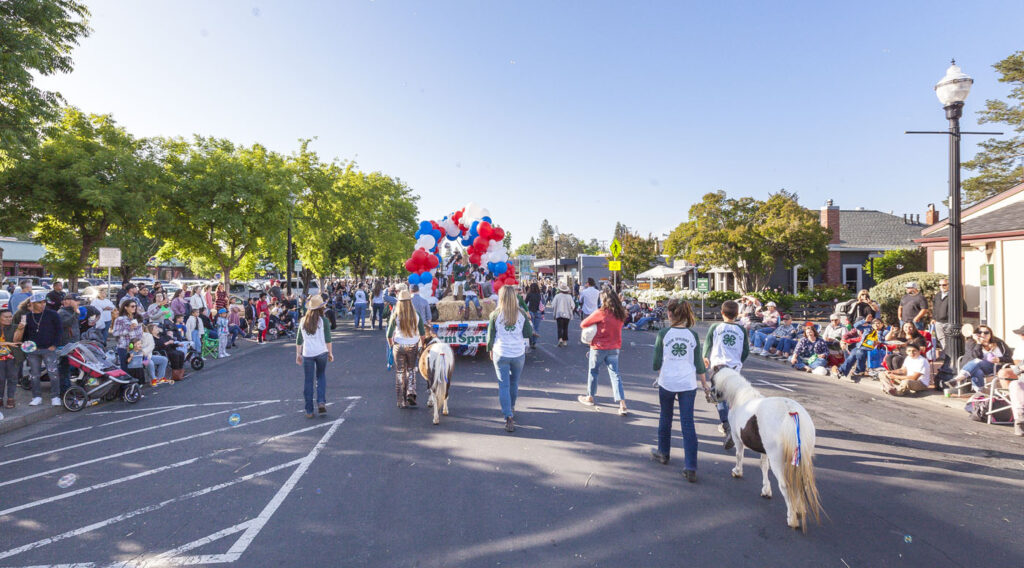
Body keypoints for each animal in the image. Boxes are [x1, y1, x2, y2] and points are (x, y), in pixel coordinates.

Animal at [710, 367, 824, 531]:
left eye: (712, 379)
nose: (709, 396)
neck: (740, 397)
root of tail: (791, 413)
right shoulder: (764, 450)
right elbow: (763, 466)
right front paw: (766, 490)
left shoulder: (738, 439)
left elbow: (739, 455)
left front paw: (737, 472)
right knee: (801, 485)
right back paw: (799, 510)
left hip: (778, 459)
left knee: (785, 485)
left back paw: (792, 518)